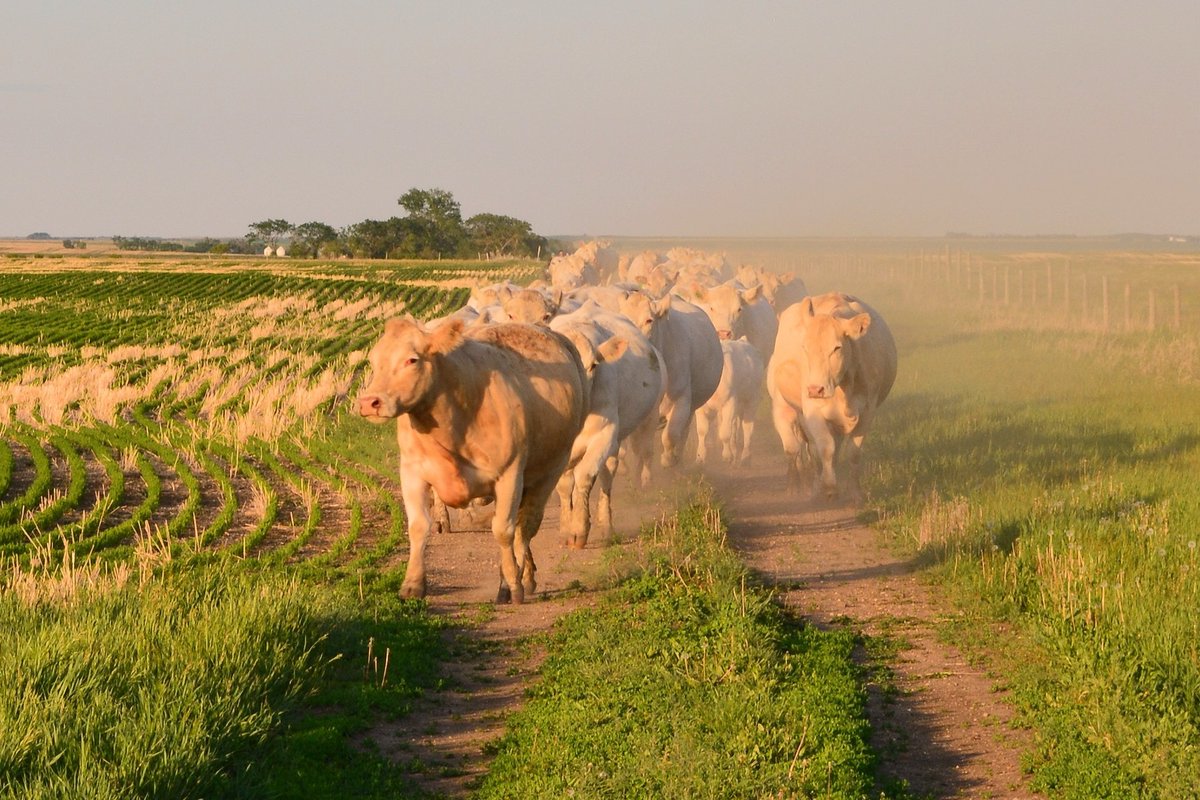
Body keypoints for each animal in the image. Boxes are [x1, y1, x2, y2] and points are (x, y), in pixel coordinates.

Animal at [357, 317, 588, 603]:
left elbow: (503, 531)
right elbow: (418, 526)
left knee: (525, 526)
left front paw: (512, 584)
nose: (369, 402)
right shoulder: (412, 472)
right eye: (374, 360)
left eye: (412, 360)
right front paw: (412, 584)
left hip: (551, 469)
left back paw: (521, 577)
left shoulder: (510, 474)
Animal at [695, 337, 764, 466]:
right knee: (734, 427)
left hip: (752, 399)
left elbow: (725, 433)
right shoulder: (701, 407)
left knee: (747, 428)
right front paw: (700, 456)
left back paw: (745, 457)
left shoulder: (730, 402)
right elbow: (702, 431)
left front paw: (727, 456)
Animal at [767, 292, 897, 501]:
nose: (815, 389)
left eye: (836, 348)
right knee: (795, 449)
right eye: (805, 347)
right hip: (783, 407)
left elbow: (853, 453)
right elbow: (826, 449)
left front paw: (854, 492)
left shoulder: (867, 411)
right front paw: (828, 488)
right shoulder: (813, 412)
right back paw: (797, 487)